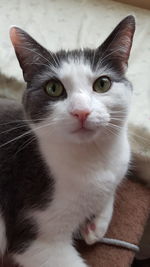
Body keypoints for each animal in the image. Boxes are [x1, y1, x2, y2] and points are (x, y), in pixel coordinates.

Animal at [0, 15, 135, 266]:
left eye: (103, 84)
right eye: (53, 88)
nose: (81, 112)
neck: (93, 157)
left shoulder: (118, 166)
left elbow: (111, 188)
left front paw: (96, 225)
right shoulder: (35, 238)